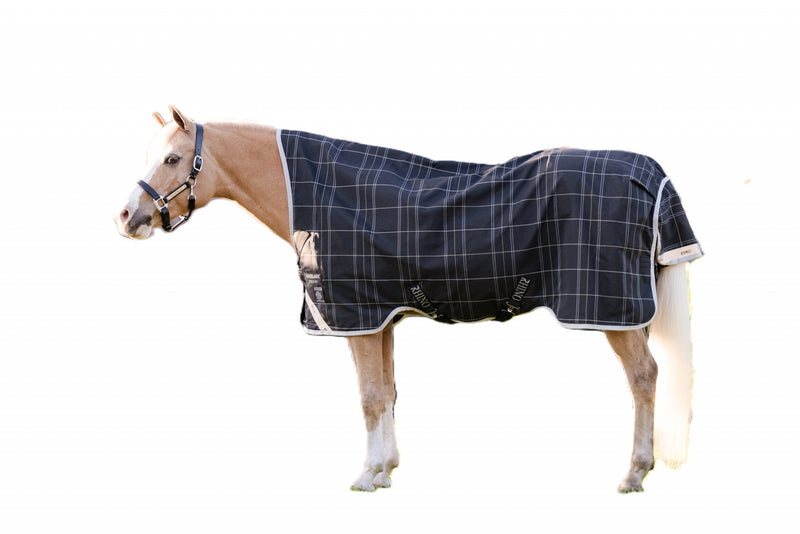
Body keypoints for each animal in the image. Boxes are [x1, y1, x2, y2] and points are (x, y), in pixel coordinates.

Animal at [115, 106, 702, 493]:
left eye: (173, 159)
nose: (127, 217)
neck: (315, 192)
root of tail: (650, 173)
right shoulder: (383, 319)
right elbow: (389, 393)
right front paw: (387, 467)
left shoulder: (355, 317)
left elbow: (369, 397)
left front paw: (367, 476)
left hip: (610, 308)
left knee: (643, 376)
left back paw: (634, 472)